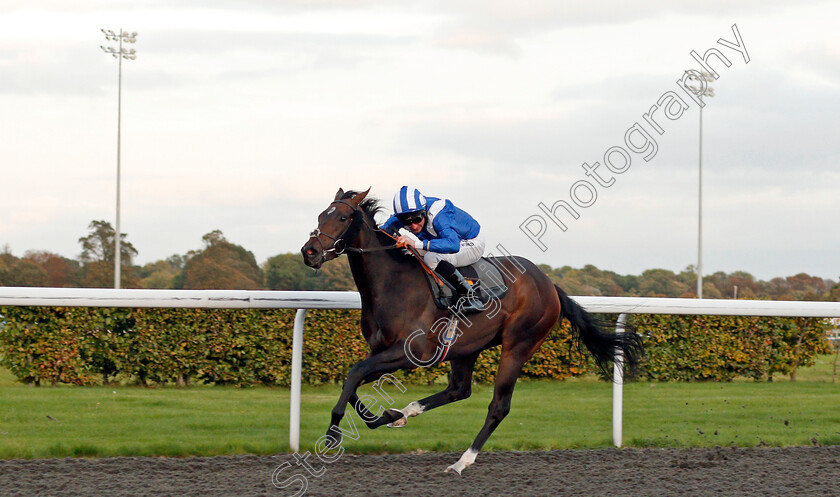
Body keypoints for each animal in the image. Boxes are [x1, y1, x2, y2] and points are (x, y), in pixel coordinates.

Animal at [302, 187, 644, 472]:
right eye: (320, 215)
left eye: (342, 217)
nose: (310, 251)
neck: (394, 284)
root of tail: (549, 285)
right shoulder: (383, 351)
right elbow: (353, 379)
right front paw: (382, 416)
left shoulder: (410, 353)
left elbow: (355, 372)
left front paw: (332, 434)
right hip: (465, 347)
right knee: (459, 389)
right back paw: (406, 413)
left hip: (519, 344)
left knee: (499, 406)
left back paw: (462, 461)